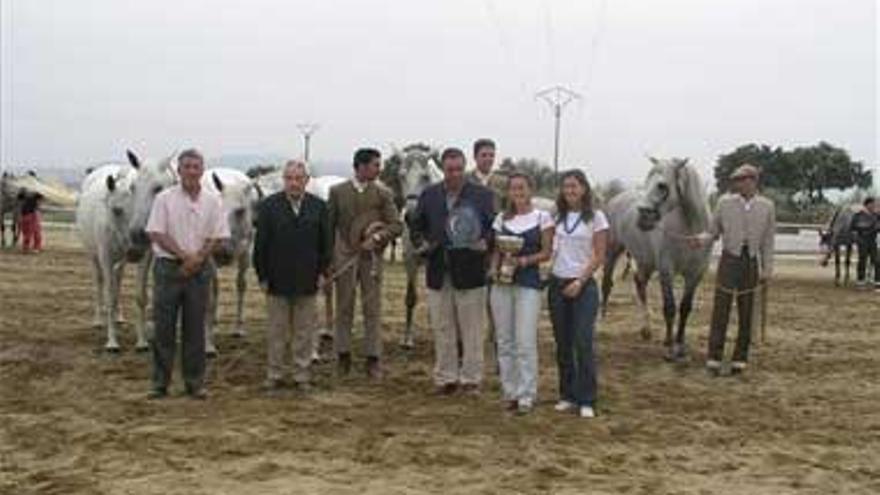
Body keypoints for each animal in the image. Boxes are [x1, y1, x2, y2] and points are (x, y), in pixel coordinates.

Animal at [76, 165, 146, 350]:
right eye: (116, 210)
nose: (135, 250)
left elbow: (138, 297)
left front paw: (142, 342)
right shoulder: (106, 258)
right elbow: (109, 295)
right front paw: (112, 343)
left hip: (120, 261)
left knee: (117, 281)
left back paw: (118, 317)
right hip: (94, 257)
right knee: (99, 282)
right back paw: (99, 320)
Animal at [204, 168, 262, 356]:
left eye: (240, 210)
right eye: (217, 208)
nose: (222, 248)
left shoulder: (245, 253)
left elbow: (241, 285)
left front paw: (238, 328)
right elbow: (209, 296)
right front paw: (208, 344)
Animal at [600, 157, 712, 362]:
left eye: (662, 185)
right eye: (647, 182)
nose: (643, 218)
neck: (689, 232)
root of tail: (616, 198)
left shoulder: (695, 274)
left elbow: (685, 308)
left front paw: (680, 345)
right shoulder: (666, 270)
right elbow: (669, 308)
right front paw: (670, 349)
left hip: (645, 260)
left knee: (640, 284)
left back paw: (646, 330)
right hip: (612, 251)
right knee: (606, 283)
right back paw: (601, 320)